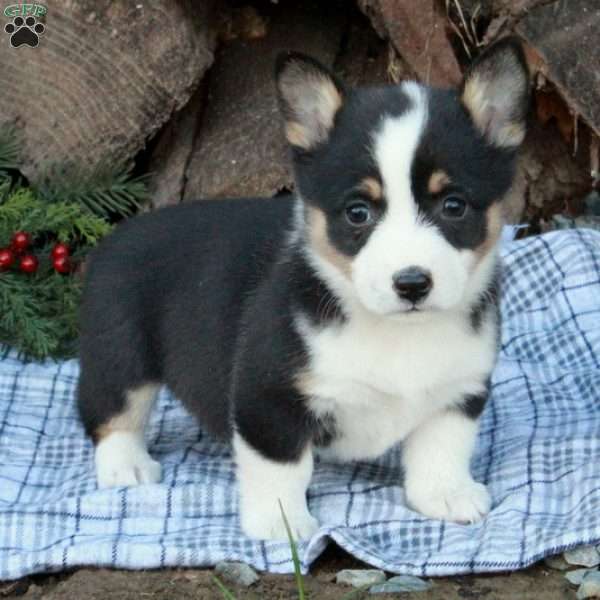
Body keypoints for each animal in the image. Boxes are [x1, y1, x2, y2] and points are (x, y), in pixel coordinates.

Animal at [78, 38, 528, 544]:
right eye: (357, 212)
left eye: (454, 206)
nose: (412, 283)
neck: (395, 331)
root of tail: (119, 233)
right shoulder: (267, 395)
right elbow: (280, 468)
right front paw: (282, 525)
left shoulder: (458, 391)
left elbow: (443, 448)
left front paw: (447, 497)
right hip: (120, 352)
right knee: (111, 411)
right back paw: (126, 467)